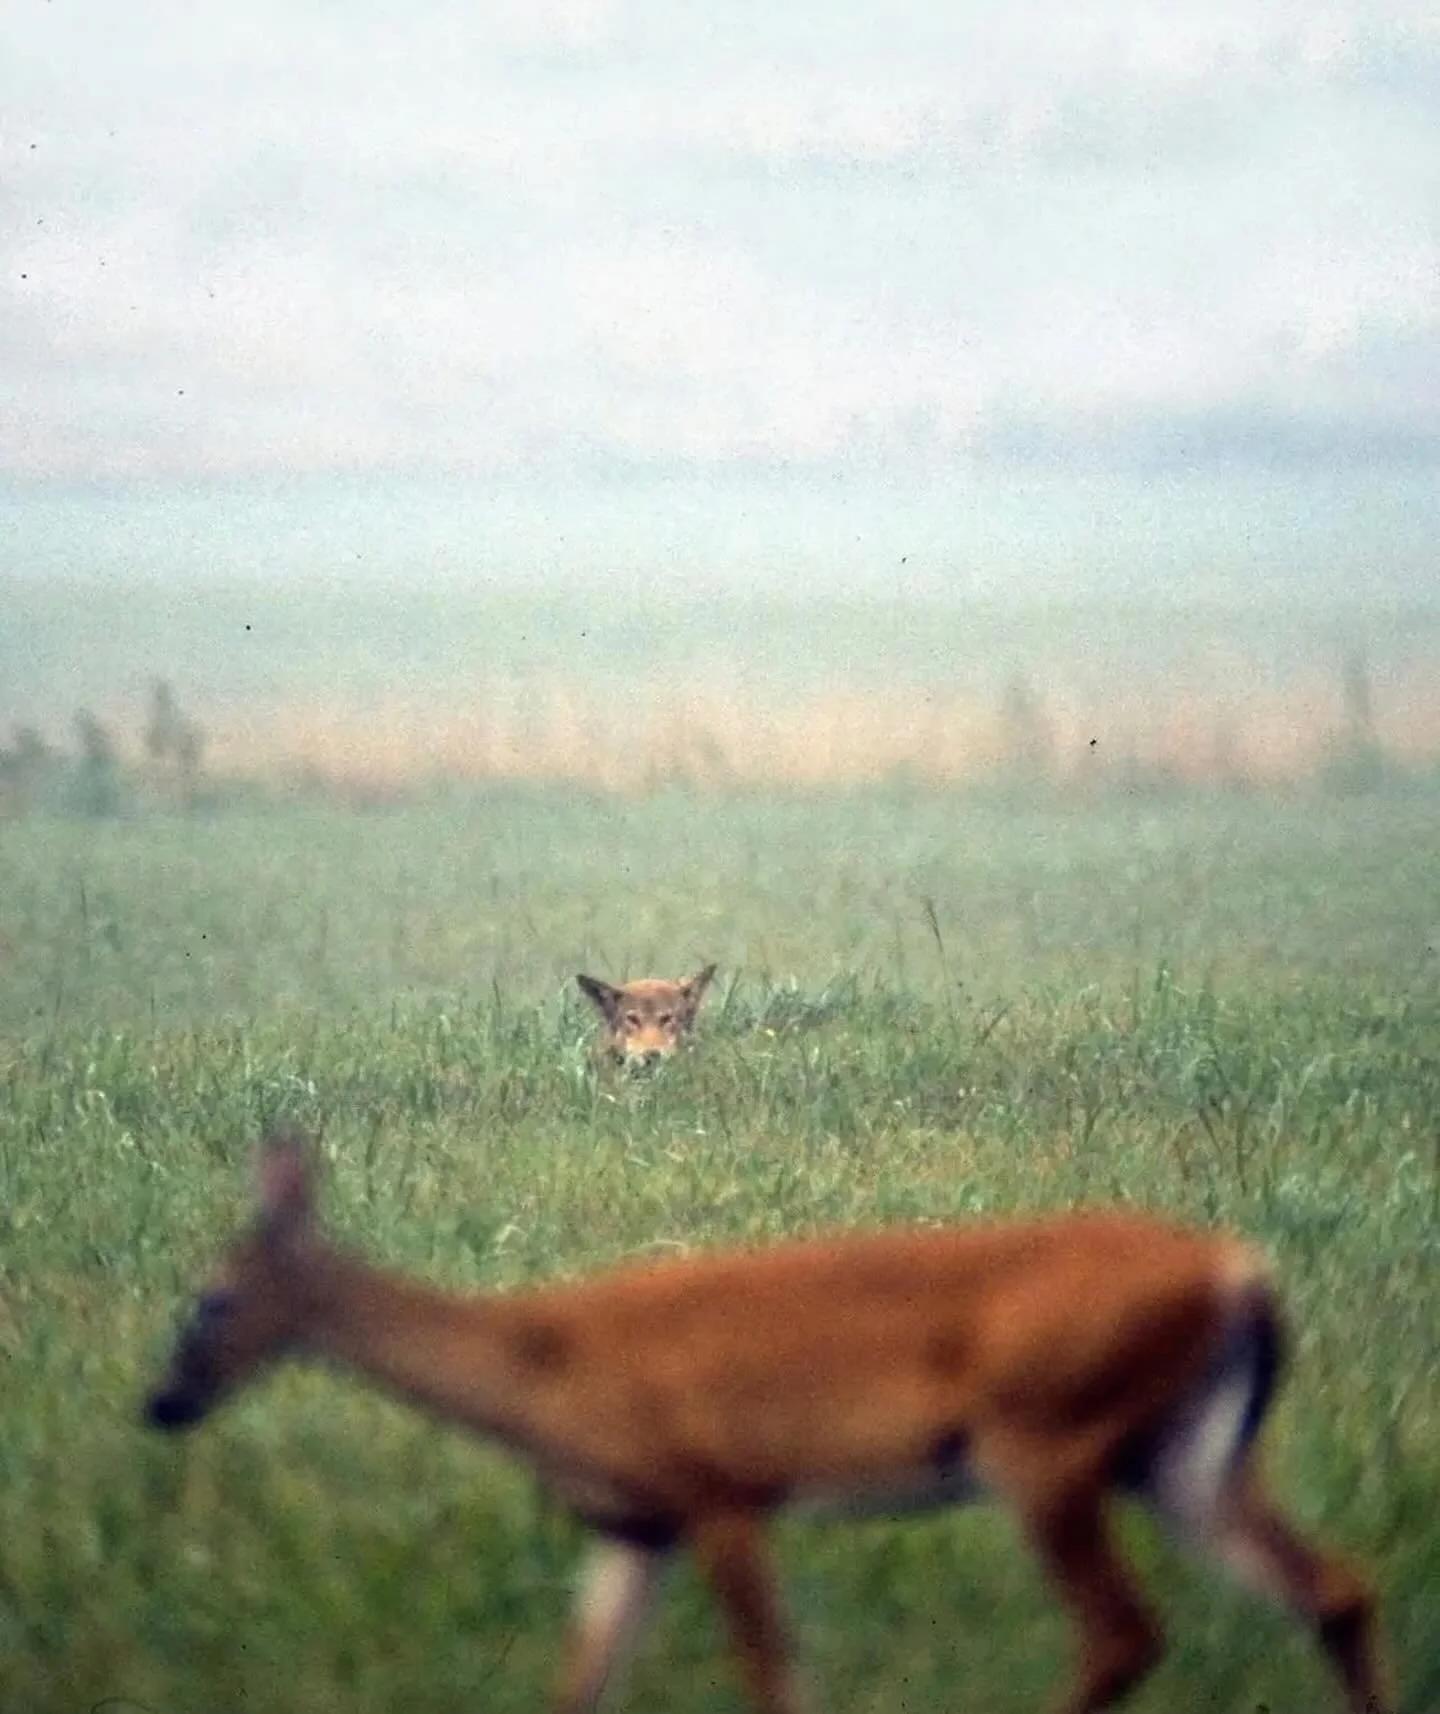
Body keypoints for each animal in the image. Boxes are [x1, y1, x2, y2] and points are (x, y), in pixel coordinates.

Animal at [144, 1133, 1391, 1714]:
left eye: (209, 1299)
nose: (161, 1402)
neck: (541, 1366)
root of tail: (1243, 1273)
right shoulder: (632, 1525)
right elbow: (578, 1683)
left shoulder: (721, 1493)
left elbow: (770, 1673)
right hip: (1181, 1452)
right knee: (1335, 1587)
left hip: (1049, 1440)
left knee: (1125, 1631)